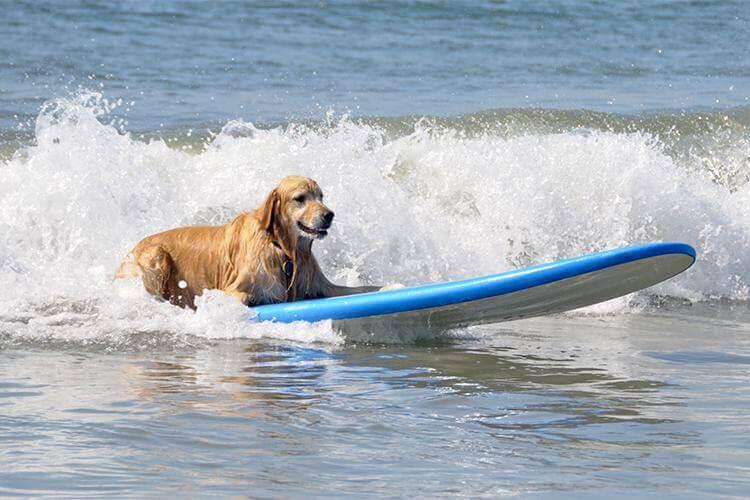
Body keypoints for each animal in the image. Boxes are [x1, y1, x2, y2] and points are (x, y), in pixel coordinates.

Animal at [117, 176, 382, 308]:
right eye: (300, 198)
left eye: (321, 196)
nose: (329, 215)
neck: (282, 249)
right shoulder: (233, 289)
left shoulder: (322, 286)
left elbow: (366, 289)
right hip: (155, 255)